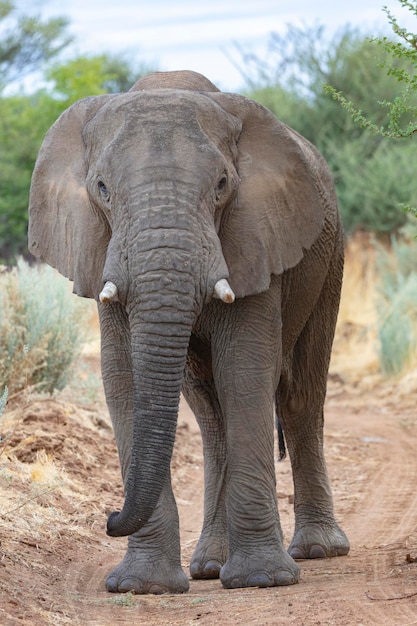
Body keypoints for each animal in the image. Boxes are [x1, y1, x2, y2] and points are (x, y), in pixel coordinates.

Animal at [27, 70, 348, 592]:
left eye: (222, 185)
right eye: (101, 188)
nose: (109, 518)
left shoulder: (253, 235)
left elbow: (245, 368)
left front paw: (262, 580)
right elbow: (123, 376)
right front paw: (142, 586)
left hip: (330, 257)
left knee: (300, 396)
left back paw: (317, 550)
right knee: (211, 416)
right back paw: (209, 567)